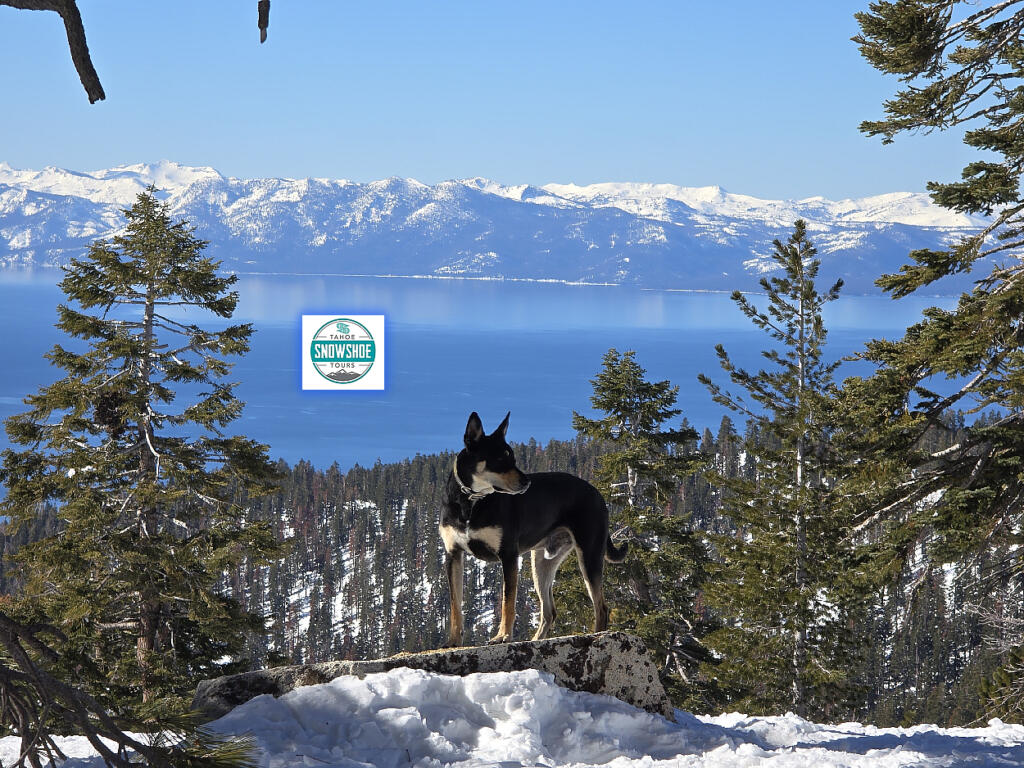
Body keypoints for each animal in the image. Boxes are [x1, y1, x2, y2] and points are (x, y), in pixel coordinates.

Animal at [440, 411, 622, 647]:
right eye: (500, 459)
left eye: (514, 458)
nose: (526, 483)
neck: (470, 502)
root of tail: (597, 493)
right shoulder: (453, 555)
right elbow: (455, 605)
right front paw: (453, 641)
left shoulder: (508, 555)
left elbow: (508, 602)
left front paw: (503, 636)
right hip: (542, 563)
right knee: (549, 611)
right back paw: (535, 640)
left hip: (589, 554)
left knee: (601, 607)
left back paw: (596, 636)